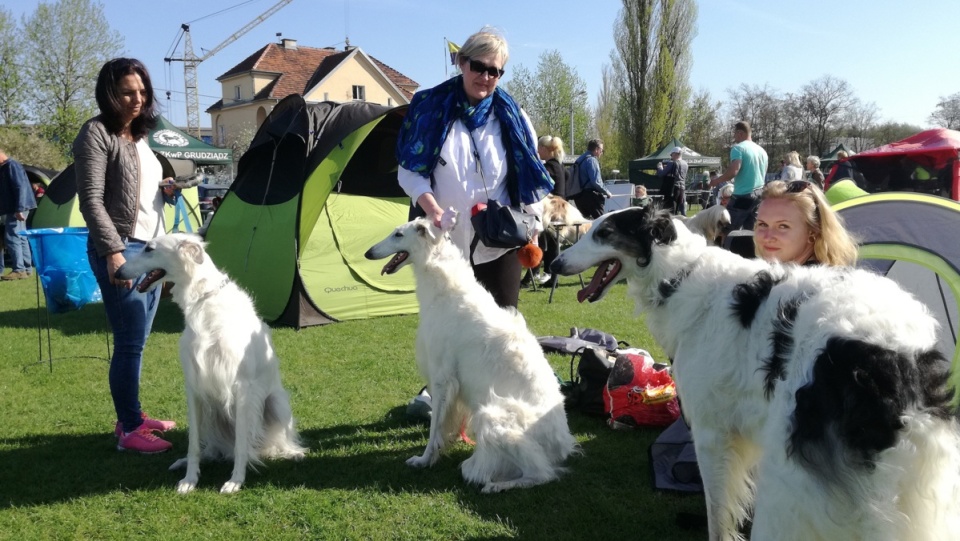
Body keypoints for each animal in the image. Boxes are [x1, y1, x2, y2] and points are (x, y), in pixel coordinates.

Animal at [116, 232, 306, 494]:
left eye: (149, 249)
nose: (117, 273)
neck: (203, 301)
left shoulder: (242, 388)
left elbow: (241, 444)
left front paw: (235, 480)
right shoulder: (194, 387)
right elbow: (193, 445)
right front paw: (189, 479)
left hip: (276, 404)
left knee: (274, 442)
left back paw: (292, 453)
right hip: (212, 415)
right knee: (214, 449)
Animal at [368, 213, 576, 492]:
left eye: (398, 234)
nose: (368, 252)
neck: (447, 289)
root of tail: (563, 447)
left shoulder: (442, 376)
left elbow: (434, 429)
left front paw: (424, 459)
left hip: (493, 416)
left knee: (542, 473)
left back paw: (496, 485)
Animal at [548, 207, 960, 540]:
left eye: (604, 232)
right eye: (590, 228)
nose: (554, 265)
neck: (680, 277)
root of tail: (899, 357)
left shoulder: (712, 433)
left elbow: (718, 515)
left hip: (792, 482)